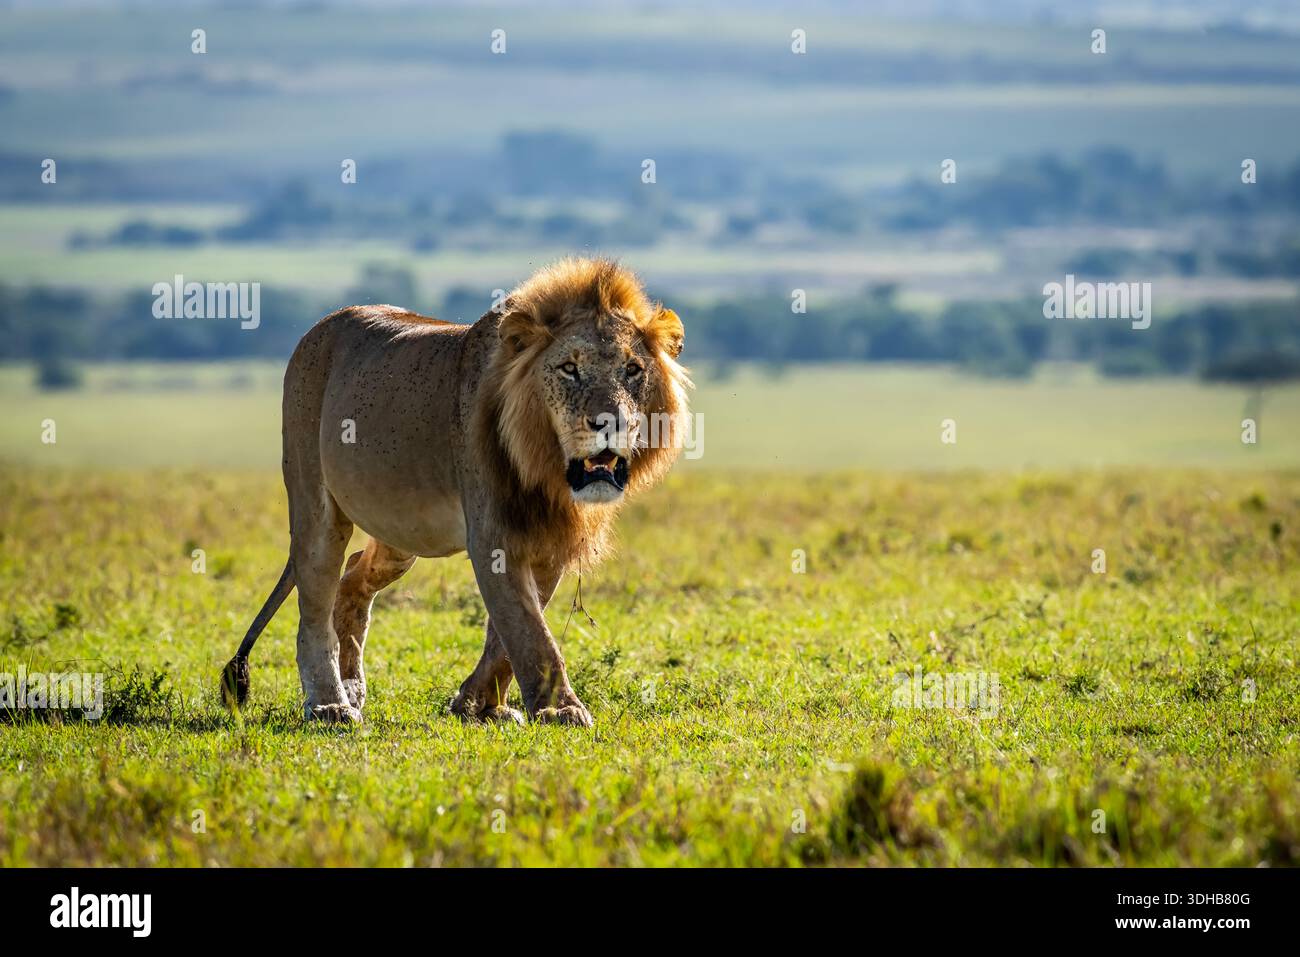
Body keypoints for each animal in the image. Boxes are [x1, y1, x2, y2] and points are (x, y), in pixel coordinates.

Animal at [220, 257, 691, 726]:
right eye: (569, 368)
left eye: (632, 370)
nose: (609, 423)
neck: (547, 470)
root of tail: (321, 326)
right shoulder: (493, 536)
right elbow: (529, 633)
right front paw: (560, 709)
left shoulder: (549, 540)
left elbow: (508, 636)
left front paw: (479, 705)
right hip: (315, 505)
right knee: (314, 606)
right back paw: (329, 703)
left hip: (400, 529)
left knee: (353, 576)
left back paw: (353, 686)